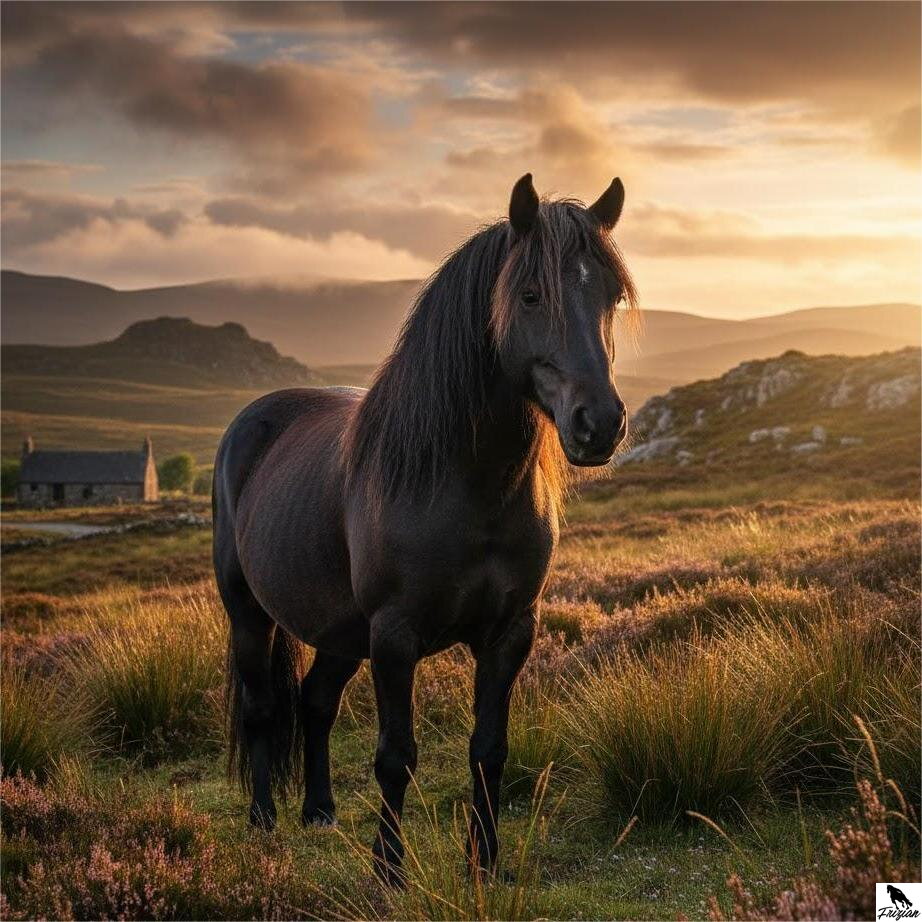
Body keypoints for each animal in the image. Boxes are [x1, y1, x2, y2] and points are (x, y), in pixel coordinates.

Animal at [213, 172, 637, 884]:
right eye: (530, 294)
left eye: (610, 293)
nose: (598, 423)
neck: (467, 487)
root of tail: (253, 419)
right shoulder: (394, 634)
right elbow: (396, 756)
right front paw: (388, 870)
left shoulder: (509, 632)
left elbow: (489, 749)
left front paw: (485, 863)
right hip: (250, 612)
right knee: (261, 708)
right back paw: (264, 820)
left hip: (339, 629)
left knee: (316, 701)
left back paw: (319, 811)